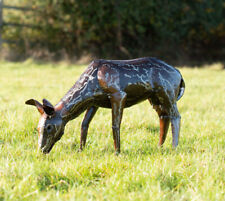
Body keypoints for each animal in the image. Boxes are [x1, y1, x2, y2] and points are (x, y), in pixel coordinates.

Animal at [25, 57, 185, 155]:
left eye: (49, 127)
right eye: (37, 128)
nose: (41, 150)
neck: (90, 87)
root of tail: (179, 75)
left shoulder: (118, 94)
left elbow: (115, 124)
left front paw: (117, 152)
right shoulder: (94, 102)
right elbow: (84, 124)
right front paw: (81, 150)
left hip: (168, 92)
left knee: (176, 116)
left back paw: (174, 148)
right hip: (155, 98)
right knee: (163, 116)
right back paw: (159, 147)